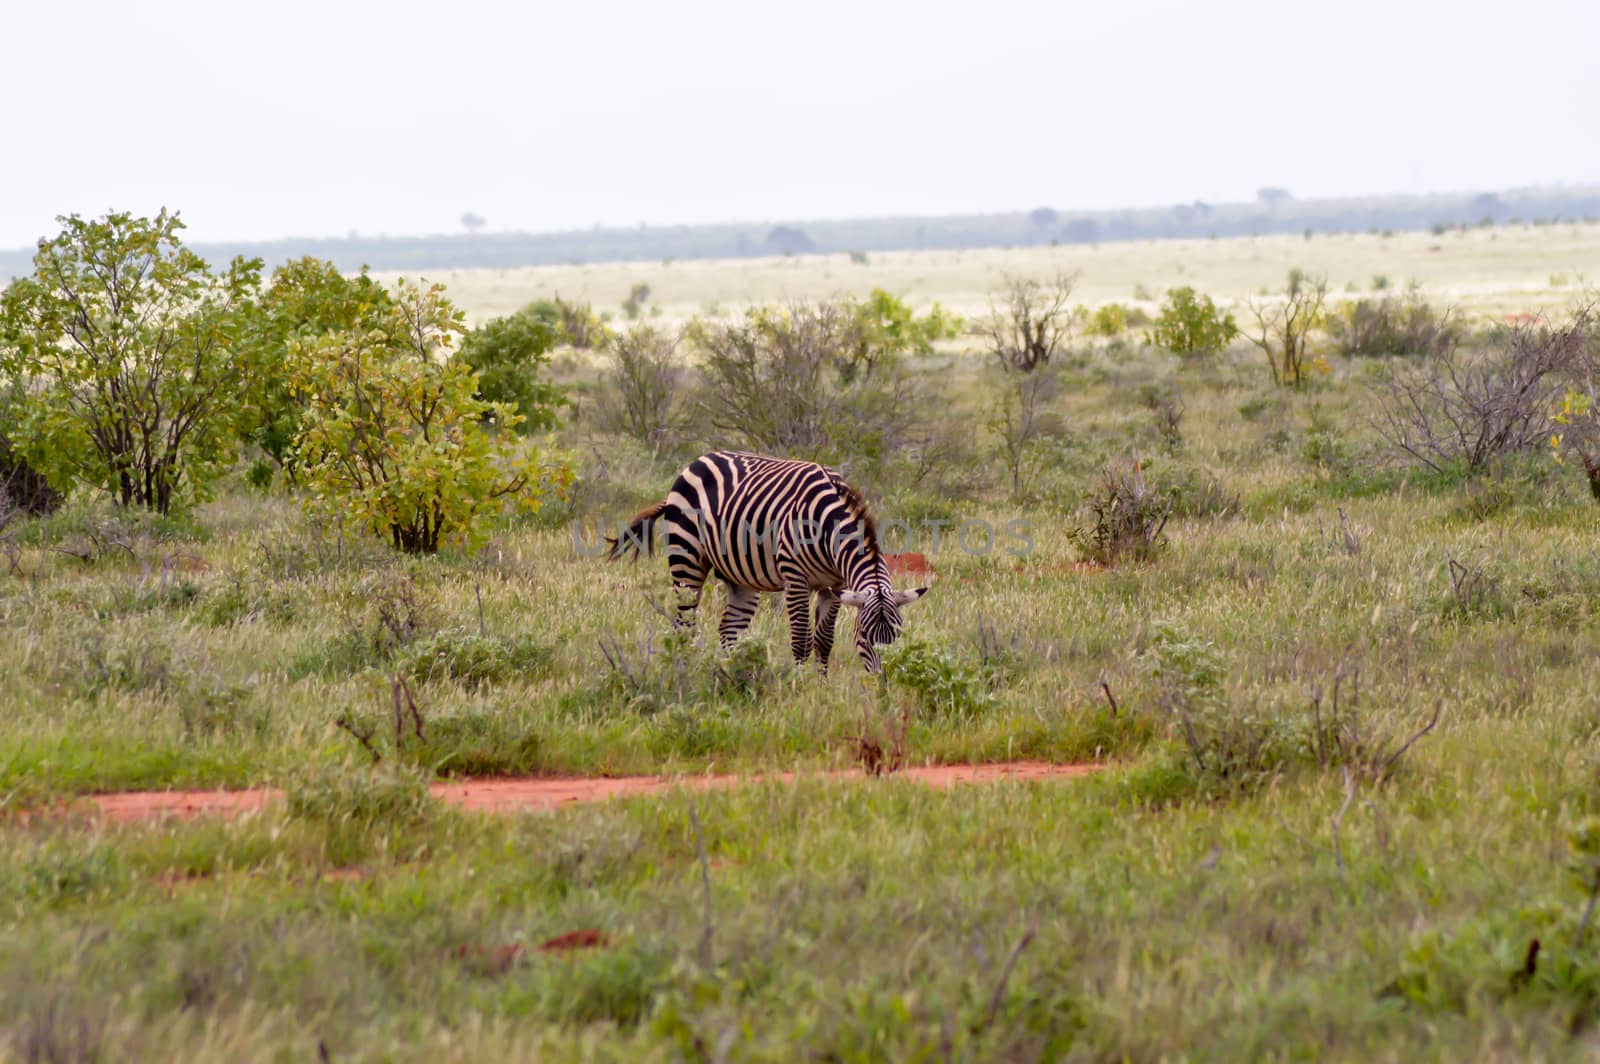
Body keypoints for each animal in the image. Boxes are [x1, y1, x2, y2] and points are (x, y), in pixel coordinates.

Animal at [601, 451, 934, 672]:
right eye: (864, 635)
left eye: (898, 634)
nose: (883, 683)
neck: (829, 527)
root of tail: (698, 459)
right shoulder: (796, 580)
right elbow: (801, 640)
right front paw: (800, 689)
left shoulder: (834, 586)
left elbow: (824, 641)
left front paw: (821, 685)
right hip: (687, 558)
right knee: (685, 625)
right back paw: (685, 672)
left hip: (740, 577)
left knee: (729, 630)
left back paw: (733, 675)